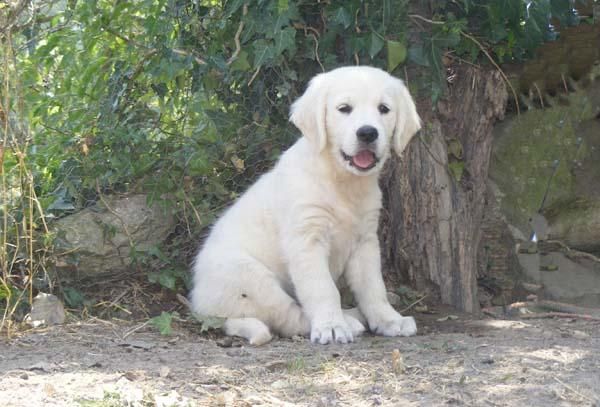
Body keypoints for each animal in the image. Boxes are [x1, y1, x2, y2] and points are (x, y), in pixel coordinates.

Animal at [190, 66, 420, 344]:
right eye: (344, 108)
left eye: (384, 109)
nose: (367, 133)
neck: (341, 182)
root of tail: (202, 309)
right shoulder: (306, 239)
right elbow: (322, 288)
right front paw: (331, 326)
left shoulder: (365, 240)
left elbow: (373, 287)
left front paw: (389, 320)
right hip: (249, 277)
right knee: (289, 316)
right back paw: (347, 321)